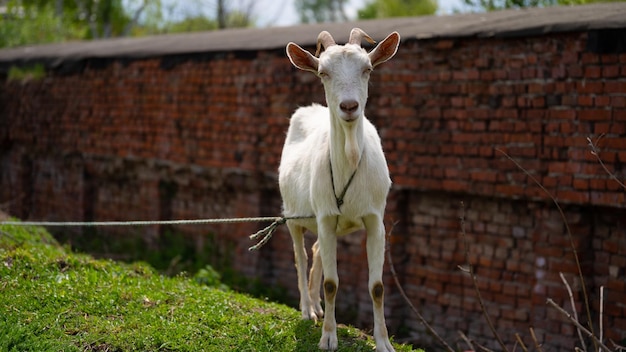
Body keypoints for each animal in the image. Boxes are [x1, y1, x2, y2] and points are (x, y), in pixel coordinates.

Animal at [280, 28, 398, 352]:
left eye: (367, 69)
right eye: (323, 73)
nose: (348, 107)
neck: (351, 159)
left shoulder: (375, 219)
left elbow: (377, 286)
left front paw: (384, 342)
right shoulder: (325, 216)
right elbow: (332, 283)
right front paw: (328, 338)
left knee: (317, 250)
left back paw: (317, 307)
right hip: (292, 216)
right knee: (301, 256)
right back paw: (307, 310)